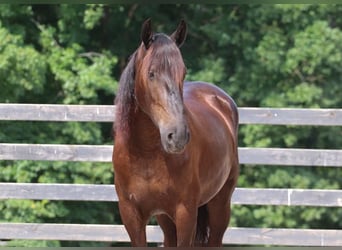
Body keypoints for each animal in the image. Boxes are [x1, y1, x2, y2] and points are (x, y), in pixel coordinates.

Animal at [113, 18, 239, 247]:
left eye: (183, 72)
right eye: (151, 73)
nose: (177, 135)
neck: (145, 154)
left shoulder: (185, 213)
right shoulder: (131, 214)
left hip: (220, 204)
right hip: (166, 218)